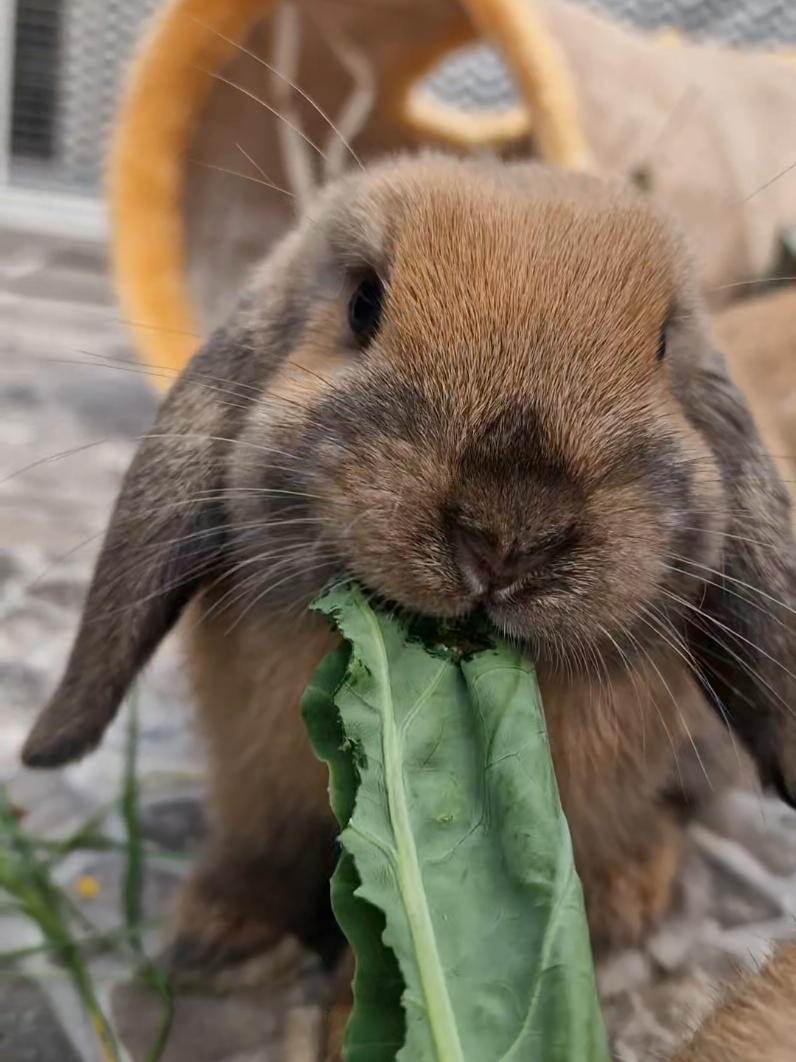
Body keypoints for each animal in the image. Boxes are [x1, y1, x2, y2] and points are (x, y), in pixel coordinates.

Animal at [19, 154, 796, 1036]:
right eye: (364, 302)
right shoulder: (255, 793)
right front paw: (219, 937)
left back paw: (632, 894)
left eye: (662, 346)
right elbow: (261, 853)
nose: (507, 532)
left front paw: (346, 1023)